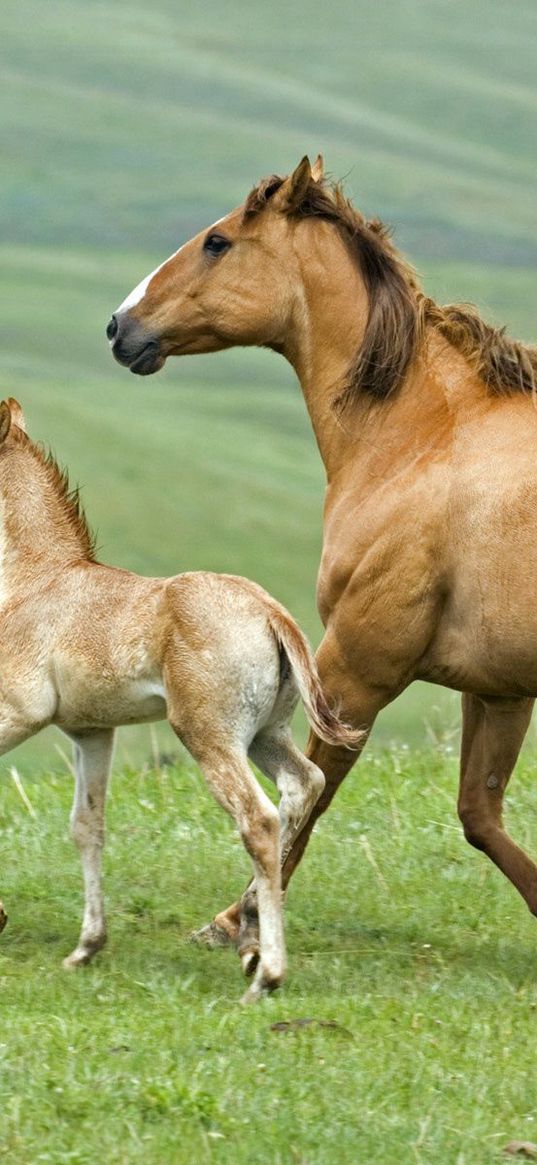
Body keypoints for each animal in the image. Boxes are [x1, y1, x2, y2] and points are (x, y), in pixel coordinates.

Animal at [1, 400, 361, 1001]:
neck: (35, 580)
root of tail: (271, 613)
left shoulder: (16, 714)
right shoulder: (91, 732)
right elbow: (87, 826)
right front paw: (85, 949)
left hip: (208, 737)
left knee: (259, 819)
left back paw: (265, 974)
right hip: (265, 736)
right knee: (303, 785)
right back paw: (248, 938)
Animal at [106, 154, 535, 955]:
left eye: (217, 242)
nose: (120, 326)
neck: (422, 437)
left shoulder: (354, 669)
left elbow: (309, 792)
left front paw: (237, 918)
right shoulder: (497, 689)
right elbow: (479, 813)